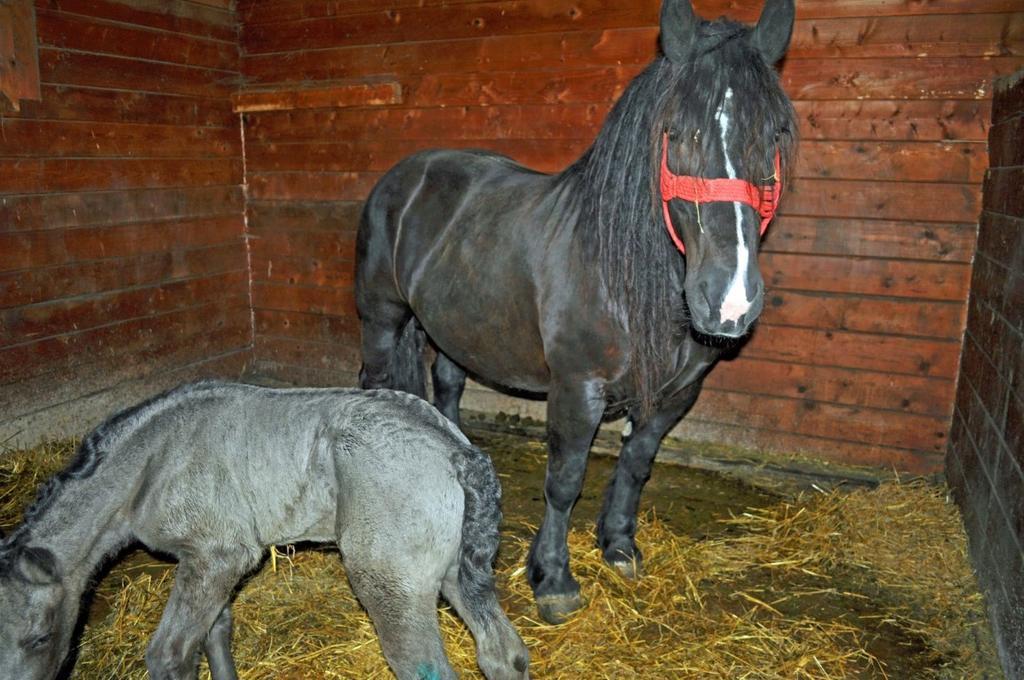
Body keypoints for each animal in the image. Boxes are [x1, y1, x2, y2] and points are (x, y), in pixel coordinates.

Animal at [0, 383, 528, 680]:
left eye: (40, 639)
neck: (154, 460)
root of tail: (457, 451)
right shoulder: (211, 565)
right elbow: (216, 632)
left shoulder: (218, 554)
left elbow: (171, 654)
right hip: (457, 572)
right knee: (504, 655)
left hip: (391, 584)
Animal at [356, 0, 794, 622]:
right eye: (675, 133)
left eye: (774, 134)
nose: (729, 300)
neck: (625, 274)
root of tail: (404, 175)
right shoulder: (576, 388)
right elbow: (565, 479)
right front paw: (554, 578)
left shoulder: (677, 394)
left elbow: (636, 463)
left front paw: (619, 545)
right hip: (382, 318)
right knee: (374, 385)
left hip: (451, 328)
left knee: (448, 388)